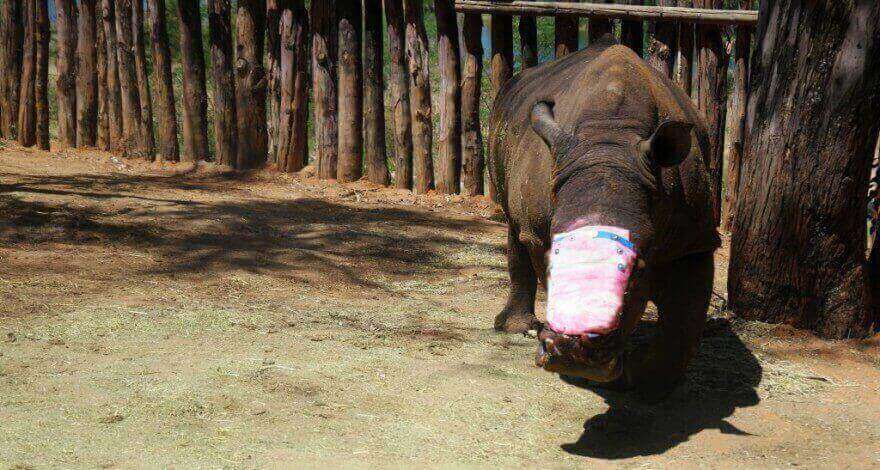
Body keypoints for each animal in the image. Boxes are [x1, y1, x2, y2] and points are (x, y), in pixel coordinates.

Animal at [488, 37, 720, 392]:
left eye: (638, 269)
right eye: (552, 261)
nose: (573, 353)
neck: (609, 144)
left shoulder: (693, 240)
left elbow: (680, 330)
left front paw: (639, 376)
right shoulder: (540, 231)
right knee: (514, 226)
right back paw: (514, 328)